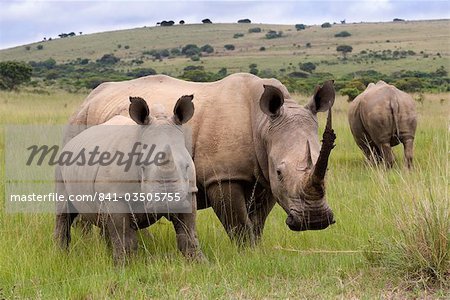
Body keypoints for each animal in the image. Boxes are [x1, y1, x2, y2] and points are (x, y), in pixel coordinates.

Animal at [53, 95, 203, 262]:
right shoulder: (115, 196)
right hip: (62, 161)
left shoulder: (189, 191)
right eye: (143, 167)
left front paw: (199, 262)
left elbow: (188, 231)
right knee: (64, 212)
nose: (169, 202)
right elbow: (124, 236)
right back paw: (60, 255)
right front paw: (125, 265)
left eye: (187, 166)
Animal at [65, 73, 336, 246]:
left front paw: (257, 251)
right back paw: (88, 245)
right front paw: (246, 254)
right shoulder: (224, 176)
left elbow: (257, 222)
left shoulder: (264, 175)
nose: (315, 221)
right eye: (280, 171)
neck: (263, 125)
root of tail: (88, 97)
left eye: (327, 170)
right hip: (79, 122)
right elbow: (239, 224)